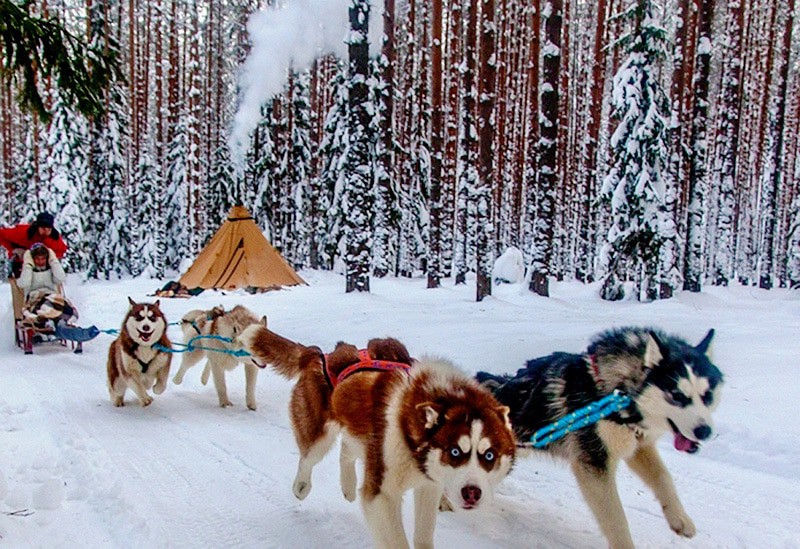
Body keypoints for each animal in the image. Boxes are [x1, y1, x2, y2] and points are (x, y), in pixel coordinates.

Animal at [234, 326, 516, 548]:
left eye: (489, 456)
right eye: (455, 451)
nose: (472, 493)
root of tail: (320, 354)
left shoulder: (429, 487)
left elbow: (423, 536)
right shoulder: (381, 495)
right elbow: (397, 539)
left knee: (347, 450)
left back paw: (348, 485)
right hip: (321, 435)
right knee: (308, 458)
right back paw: (302, 486)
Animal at [478, 328, 720, 544]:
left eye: (706, 395)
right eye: (677, 395)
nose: (705, 431)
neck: (616, 392)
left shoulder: (638, 445)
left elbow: (663, 477)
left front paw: (680, 518)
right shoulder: (594, 464)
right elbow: (616, 520)